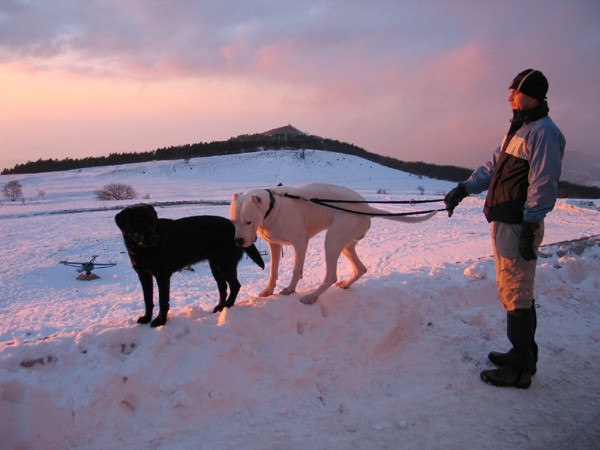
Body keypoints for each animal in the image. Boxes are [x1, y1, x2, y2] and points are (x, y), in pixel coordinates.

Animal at [115, 204, 264, 326]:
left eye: (153, 222)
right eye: (140, 222)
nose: (155, 238)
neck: (141, 249)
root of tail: (235, 229)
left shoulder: (162, 276)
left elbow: (162, 300)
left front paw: (160, 321)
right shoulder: (143, 275)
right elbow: (147, 299)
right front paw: (146, 318)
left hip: (226, 264)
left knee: (235, 285)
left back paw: (228, 306)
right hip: (215, 266)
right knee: (223, 287)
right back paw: (220, 307)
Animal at [231, 181, 436, 304]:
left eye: (248, 221)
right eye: (233, 221)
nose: (238, 241)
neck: (273, 207)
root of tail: (365, 206)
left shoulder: (300, 243)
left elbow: (296, 270)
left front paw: (290, 289)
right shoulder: (274, 245)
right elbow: (273, 271)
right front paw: (268, 290)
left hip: (331, 241)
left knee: (331, 276)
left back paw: (312, 296)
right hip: (345, 245)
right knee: (360, 268)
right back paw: (345, 284)